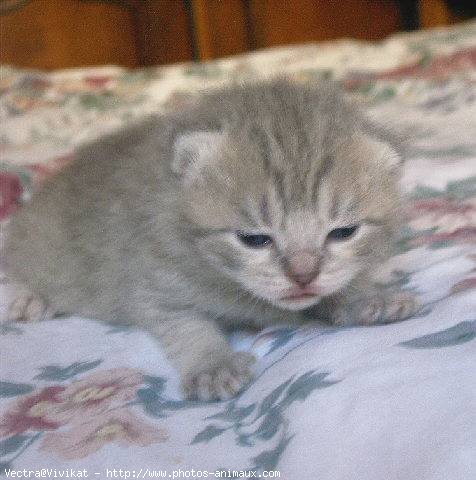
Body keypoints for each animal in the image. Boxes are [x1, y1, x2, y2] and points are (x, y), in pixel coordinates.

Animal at [3, 79, 416, 402]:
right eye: (254, 239)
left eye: (343, 232)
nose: (302, 276)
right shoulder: (152, 286)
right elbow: (188, 328)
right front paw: (213, 364)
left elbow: (337, 287)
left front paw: (366, 297)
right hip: (40, 244)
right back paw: (28, 297)